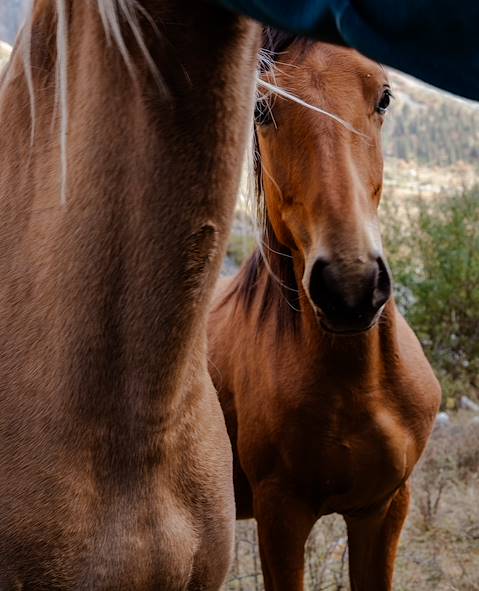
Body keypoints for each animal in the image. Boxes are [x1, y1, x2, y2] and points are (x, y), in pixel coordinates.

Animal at [210, 32, 442, 591]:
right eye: (261, 107)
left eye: (384, 97)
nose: (349, 286)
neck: (360, 385)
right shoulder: (280, 518)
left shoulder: (385, 509)